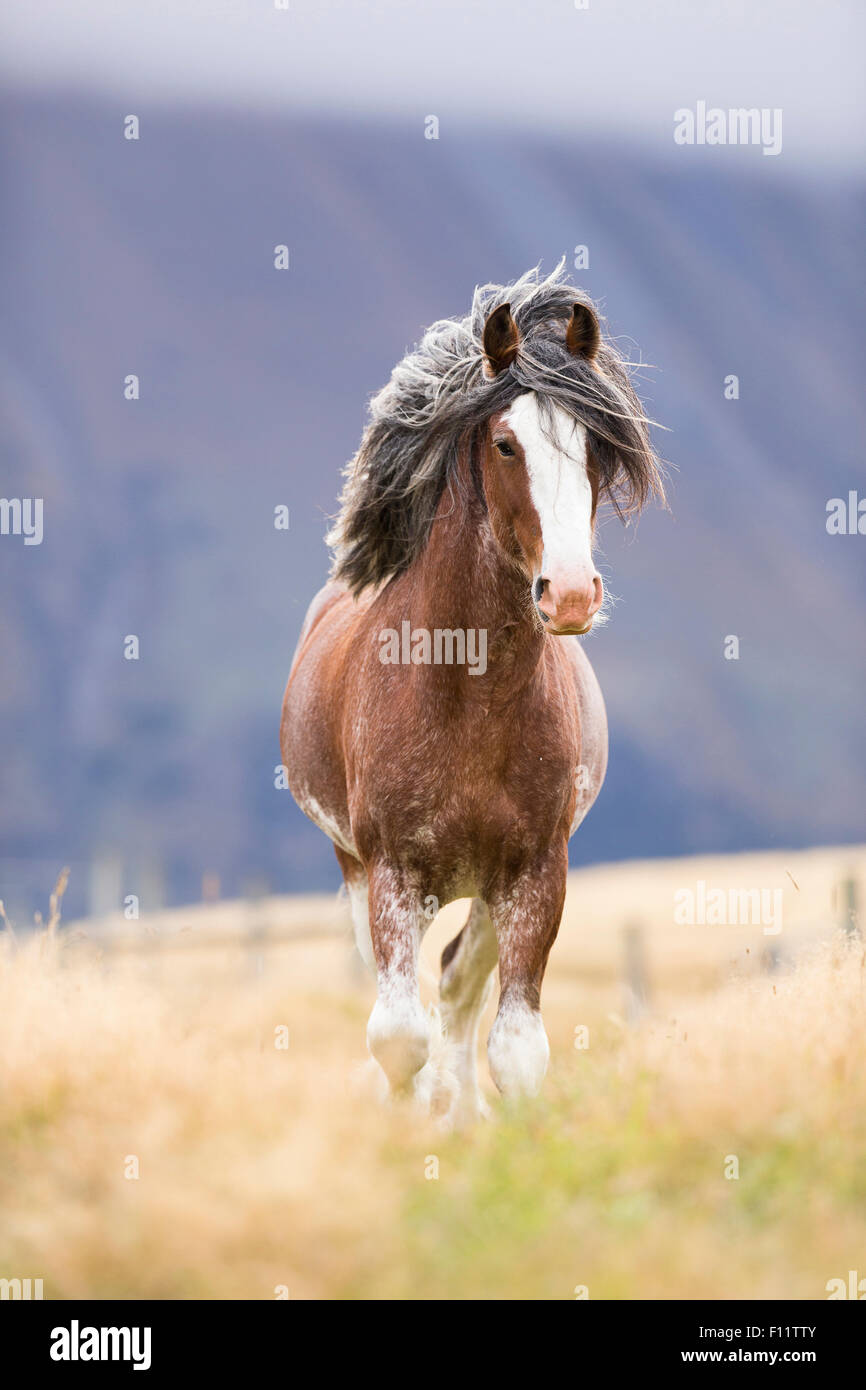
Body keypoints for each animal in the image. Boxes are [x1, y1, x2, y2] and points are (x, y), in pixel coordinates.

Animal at [280, 265, 661, 1123]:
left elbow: (513, 1048)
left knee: (457, 982)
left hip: (489, 888)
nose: (571, 594)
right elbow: (398, 1036)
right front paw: (413, 1116)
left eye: (595, 445)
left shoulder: (536, 872)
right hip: (360, 870)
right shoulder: (391, 870)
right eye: (506, 442)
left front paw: (481, 1125)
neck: (469, 699)